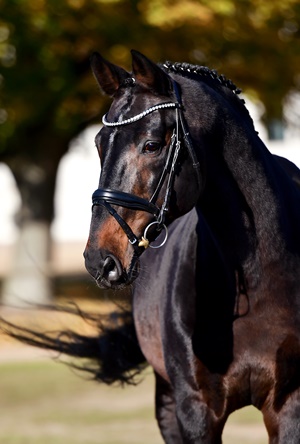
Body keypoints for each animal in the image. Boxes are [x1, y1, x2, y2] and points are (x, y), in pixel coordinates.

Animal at [82, 50, 300, 442]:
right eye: (98, 145)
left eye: (152, 145)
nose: (99, 261)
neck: (261, 273)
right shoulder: (195, 410)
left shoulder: (289, 405)